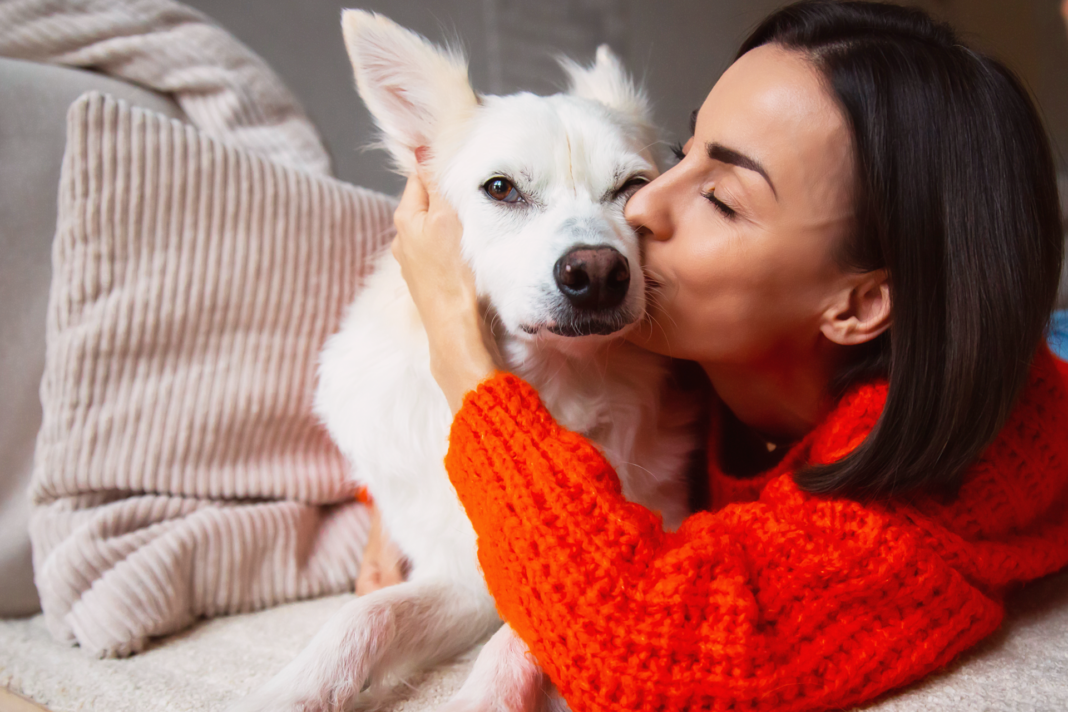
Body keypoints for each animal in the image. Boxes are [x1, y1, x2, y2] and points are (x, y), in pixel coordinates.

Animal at [234, 11, 696, 712]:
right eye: (500, 189)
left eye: (632, 188)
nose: (597, 273)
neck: (552, 381)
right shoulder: (456, 569)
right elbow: (366, 614)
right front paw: (294, 690)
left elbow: (520, 637)